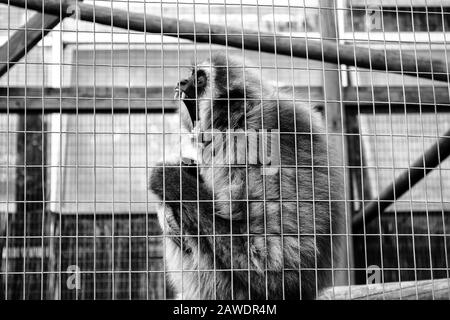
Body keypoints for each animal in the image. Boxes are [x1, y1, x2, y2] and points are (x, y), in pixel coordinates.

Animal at [149, 52, 342, 300]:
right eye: (191, 74)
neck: (237, 122)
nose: (182, 82)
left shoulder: (258, 142)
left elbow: (271, 263)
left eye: (200, 79)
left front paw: (170, 179)